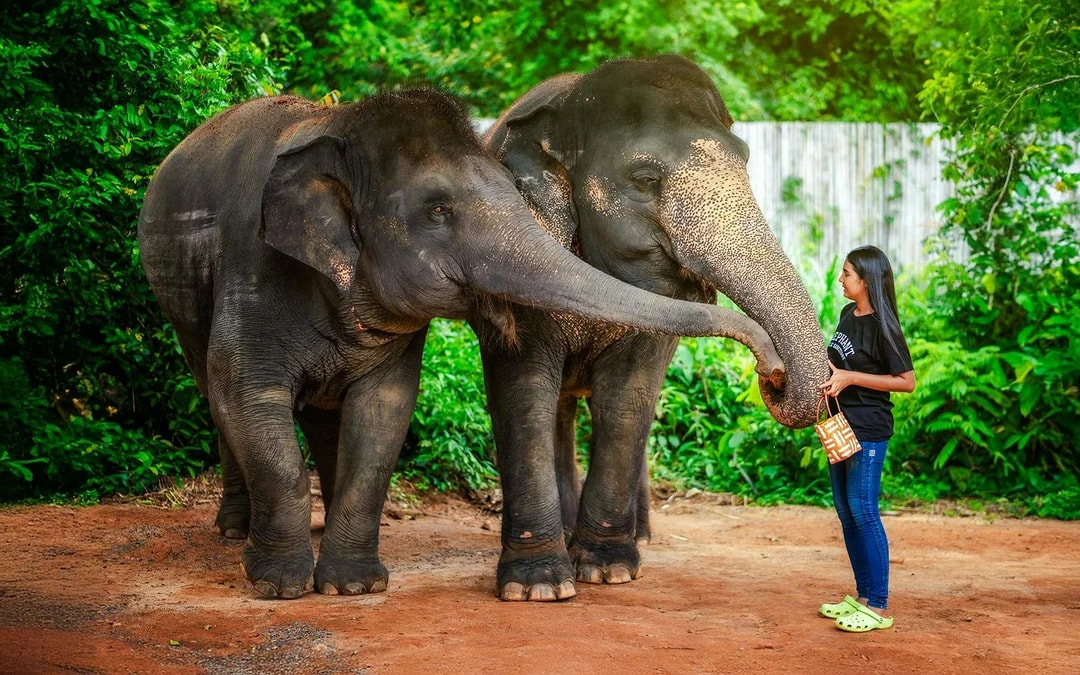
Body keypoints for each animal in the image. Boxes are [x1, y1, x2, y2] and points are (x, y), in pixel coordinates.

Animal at [137, 87, 786, 599]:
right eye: (438, 210)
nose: (773, 371)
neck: (340, 128)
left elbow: (384, 411)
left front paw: (352, 587)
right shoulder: (253, 270)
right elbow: (249, 399)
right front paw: (280, 586)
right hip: (177, 293)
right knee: (214, 391)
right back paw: (233, 532)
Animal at [472, 55, 830, 601]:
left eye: (746, 160)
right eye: (644, 179)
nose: (773, 373)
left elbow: (628, 397)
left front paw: (608, 570)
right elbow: (523, 392)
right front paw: (537, 587)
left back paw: (637, 536)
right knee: (558, 408)